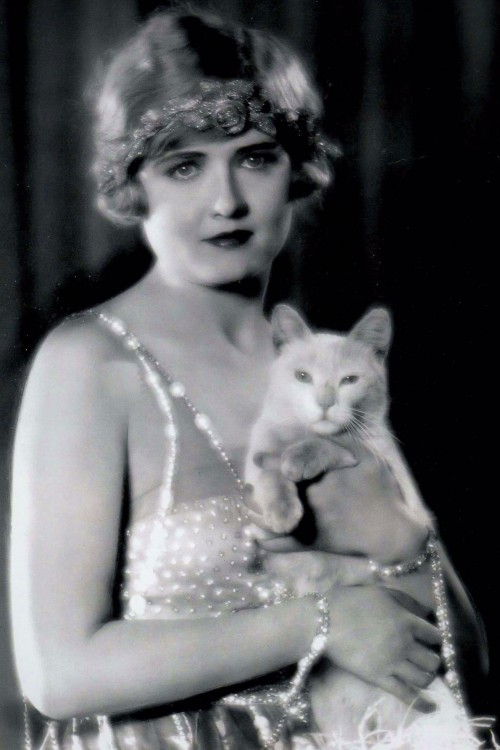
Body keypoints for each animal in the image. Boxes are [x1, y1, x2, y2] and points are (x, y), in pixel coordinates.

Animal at [245, 305, 474, 746]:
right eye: (303, 376)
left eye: (349, 380)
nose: (324, 402)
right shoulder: (259, 454)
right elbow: (268, 474)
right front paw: (282, 510)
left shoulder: (389, 472)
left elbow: (333, 446)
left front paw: (302, 457)